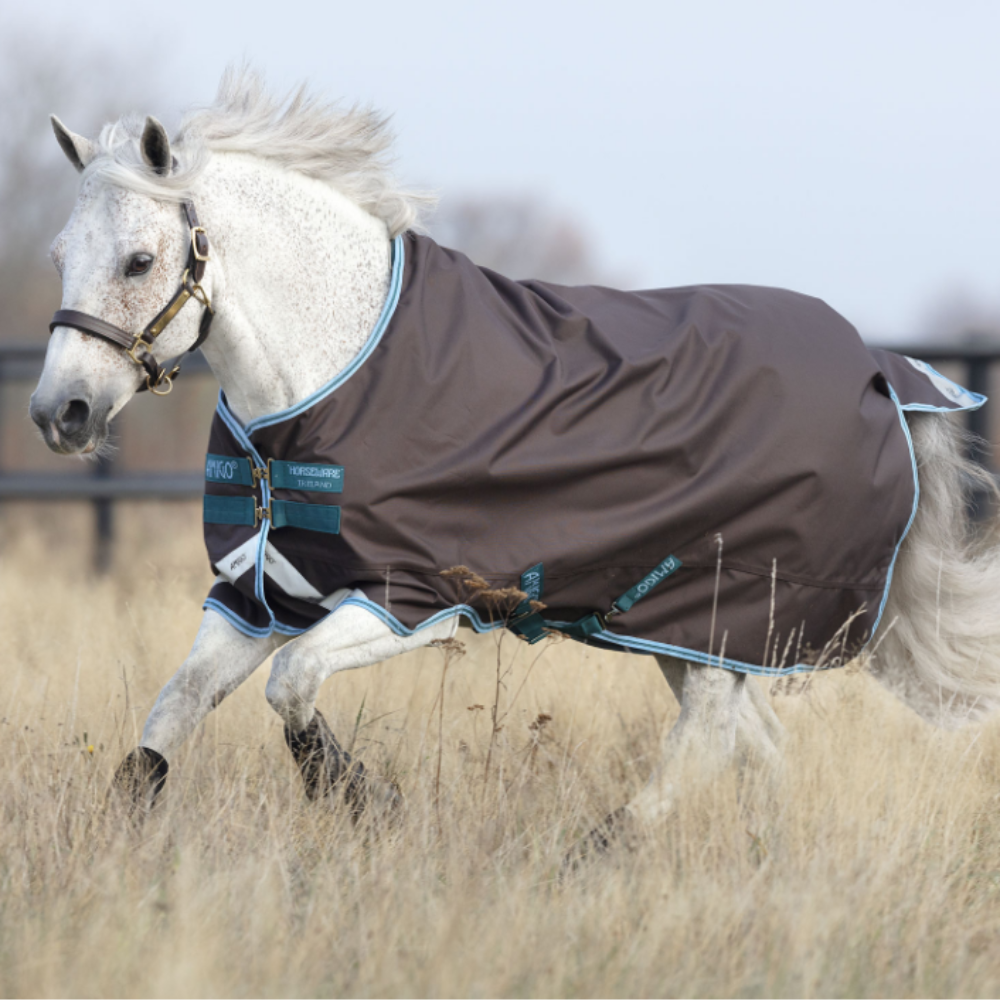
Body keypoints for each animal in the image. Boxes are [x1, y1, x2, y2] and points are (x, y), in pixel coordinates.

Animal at [30, 69, 1000, 857]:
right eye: (62, 256)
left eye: (140, 260)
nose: (58, 414)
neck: (335, 375)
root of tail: (886, 373)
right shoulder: (257, 592)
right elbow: (172, 713)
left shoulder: (407, 600)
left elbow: (292, 687)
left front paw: (363, 803)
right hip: (681, 625)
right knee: (748, 741)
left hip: (726, 612)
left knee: (707, 739)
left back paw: (599, 850)